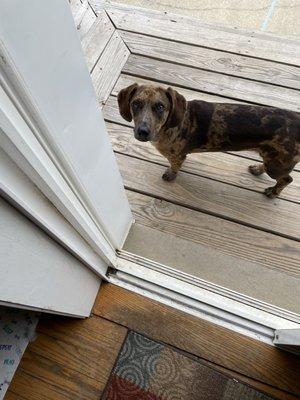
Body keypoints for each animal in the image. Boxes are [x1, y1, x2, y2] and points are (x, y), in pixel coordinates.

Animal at [118, 83, 300, 198]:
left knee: (287, 179)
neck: (169, 125)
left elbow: (174, 167)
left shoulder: (177, 156)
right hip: (271, 159)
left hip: (277, 165)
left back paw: (273, 192)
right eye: (135, 104)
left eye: (160, 107)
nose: (143, 132)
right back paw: (258, 168)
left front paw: (170, 174)